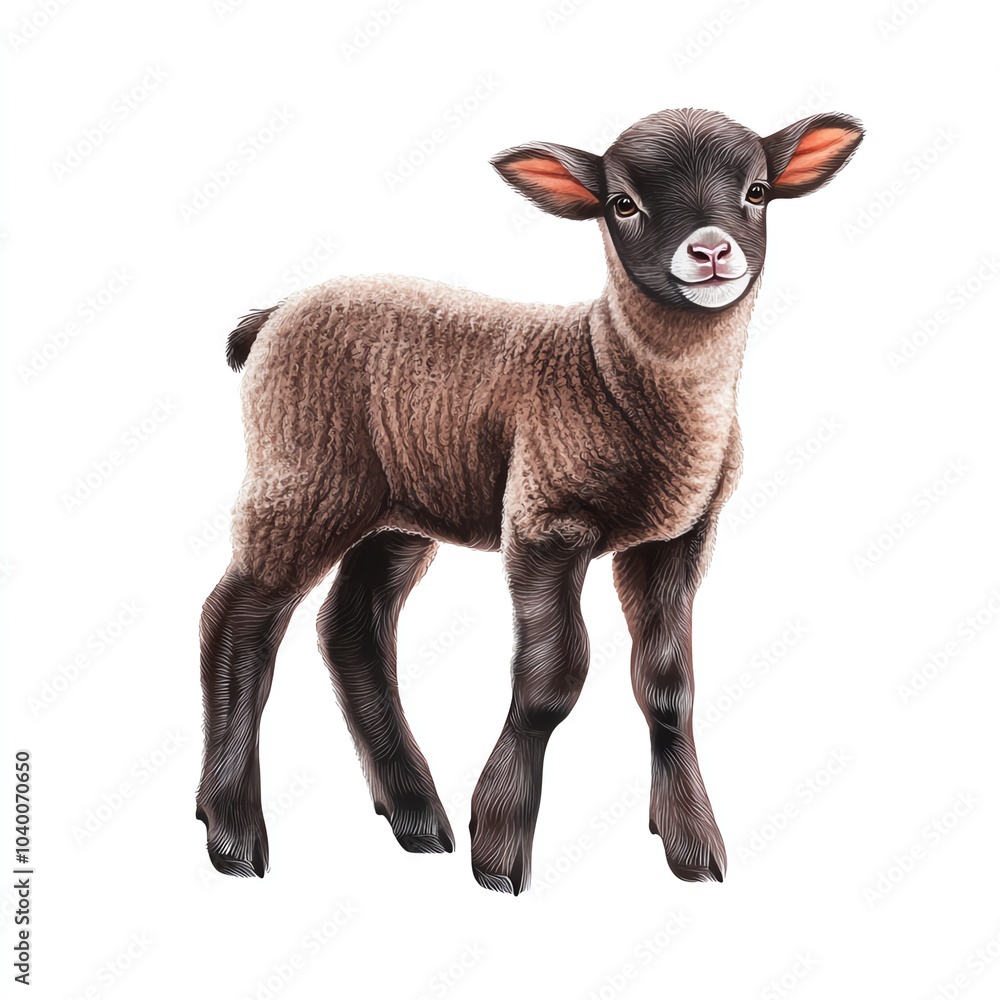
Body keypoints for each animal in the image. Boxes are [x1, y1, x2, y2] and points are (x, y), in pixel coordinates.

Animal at [196, 106, 863, 894]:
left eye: (757, 191)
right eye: (622, 204)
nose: (709, 251)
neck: (608, 368)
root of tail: (271, 316)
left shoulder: (678, 538)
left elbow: (668, 686)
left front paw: (693, 846)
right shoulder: (547, 517)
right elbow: (552, 679)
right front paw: (500, 847)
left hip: (399, 510)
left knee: (352, 629)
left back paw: (415, 816)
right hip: (302, 474)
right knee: (237, 619)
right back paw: (233, 833)